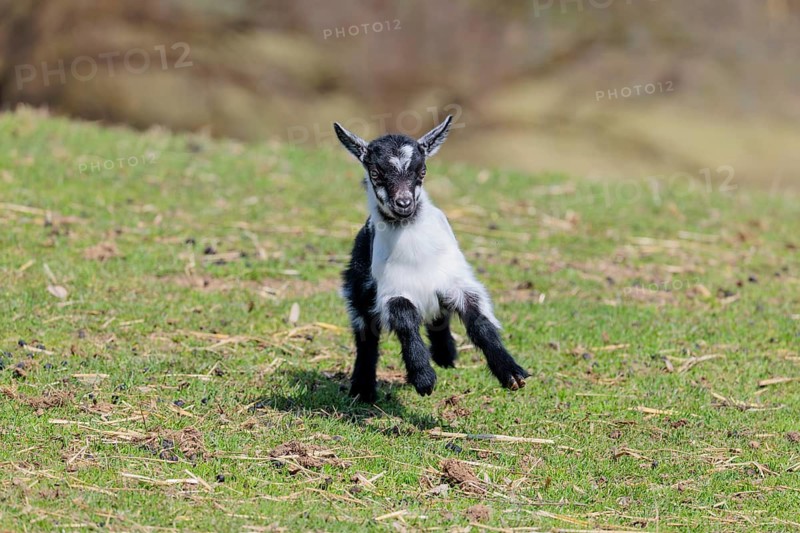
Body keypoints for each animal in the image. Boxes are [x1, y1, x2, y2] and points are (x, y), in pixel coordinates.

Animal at [334, 115, 529, 402]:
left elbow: (480, 323)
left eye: (422, 171)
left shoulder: (458, 282)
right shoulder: (392, 290)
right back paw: (363, 389)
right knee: (366, 336)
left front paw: (511, 373)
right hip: (357, 290)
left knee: (439, 317)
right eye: (375, 173)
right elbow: (405, 319)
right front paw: (423, 378)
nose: (404, 203)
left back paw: (445, 355)